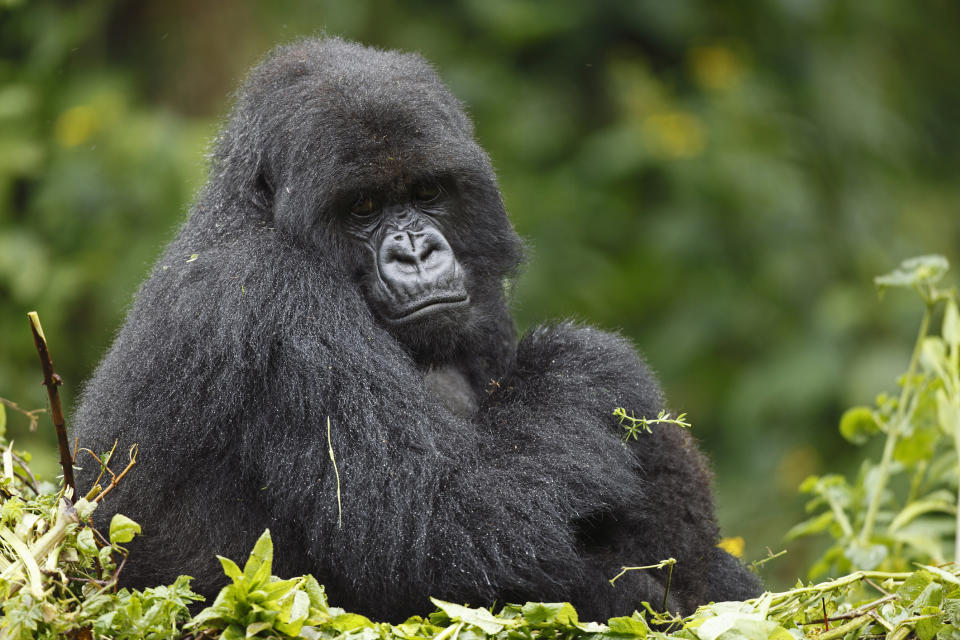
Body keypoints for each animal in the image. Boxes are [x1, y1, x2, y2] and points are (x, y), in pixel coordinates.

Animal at [73, 38, 764, 620]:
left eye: (429, 192)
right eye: (364, 207)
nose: (415, 251)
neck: (258, 212)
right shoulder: (272, 301)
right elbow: (438, 525)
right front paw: (591, 362)